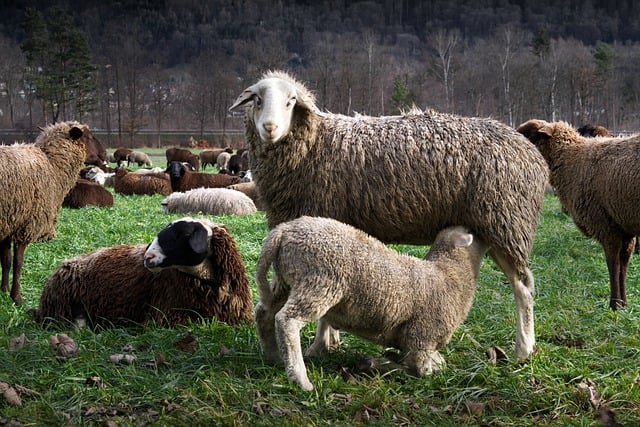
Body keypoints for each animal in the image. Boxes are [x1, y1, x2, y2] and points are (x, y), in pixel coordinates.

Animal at [0, 121, 94, 304]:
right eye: (89, 137)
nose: (105, 156)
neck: (53, 167)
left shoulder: (11, 221)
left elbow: (6, 261)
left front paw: (4, 291)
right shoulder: (27, 224)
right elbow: (18, 262)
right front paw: (17, 298)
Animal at [229, 70, 549, 358]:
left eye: (291, 101)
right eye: (257, 99)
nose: (269, 127)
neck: (315, 143)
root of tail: (532, 153)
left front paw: (320, 345)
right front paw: (331, 341)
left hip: (506, 223)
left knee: (523, 288)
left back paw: (523, 349)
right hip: (494, 227)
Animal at [255, 216, 488, 391]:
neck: (450, 274)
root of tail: (285, 230)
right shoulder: (421, 339)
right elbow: (420, 372)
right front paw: (376, 364)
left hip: (285, 281)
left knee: (264, 313)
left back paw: (274, 356)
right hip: (318, 282)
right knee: (287, 321)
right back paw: (300, 378)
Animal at [517, 119, 640, 310]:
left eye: (529, 134)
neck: (573, 159)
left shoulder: (606, 225)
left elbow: (613, 264)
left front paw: (614, 304)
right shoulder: (623, 226)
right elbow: (623, 265)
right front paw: (623, 304)